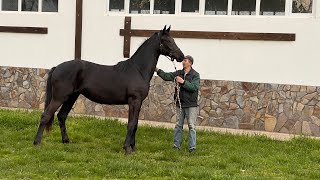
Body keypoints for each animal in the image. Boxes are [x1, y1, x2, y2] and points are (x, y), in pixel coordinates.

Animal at [33, 26, 184, 154]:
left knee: (61, 116)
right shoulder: (134, 101)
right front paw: (127, 149)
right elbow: (131, 124)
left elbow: (135, 125)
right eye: (167, 41)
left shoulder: (139, 103)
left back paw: (66, 141)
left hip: (72, 97)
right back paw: (37, 143)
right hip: (59, 97)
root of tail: (57, 67)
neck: (138, 69)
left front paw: (133, 148)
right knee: (46, 115)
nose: (181, 56)